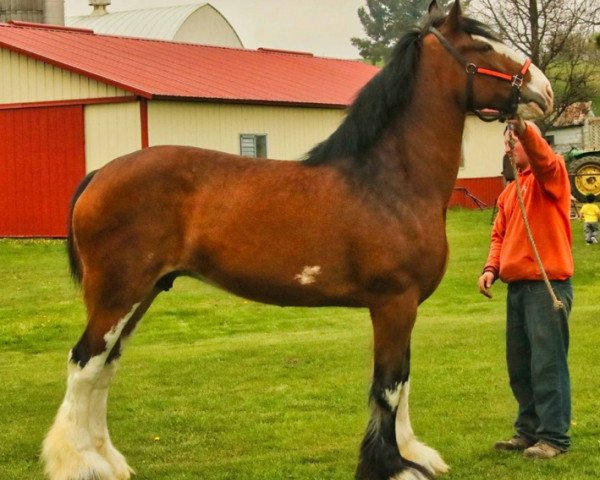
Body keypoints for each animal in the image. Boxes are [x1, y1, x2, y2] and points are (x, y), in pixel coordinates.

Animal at [42, 1, 552, 478]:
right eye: (482, 45)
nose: (544, 91)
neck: (389, 181)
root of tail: (100, 173)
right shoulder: (393, 303)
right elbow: (388, 386)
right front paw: (392, 465)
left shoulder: (405, 308)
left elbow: (403, 379)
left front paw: (413, 454)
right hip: (118, 294)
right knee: (84, 364)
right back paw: (79, 462)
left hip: (142, 293)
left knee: (105, 367)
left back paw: (109, 461)